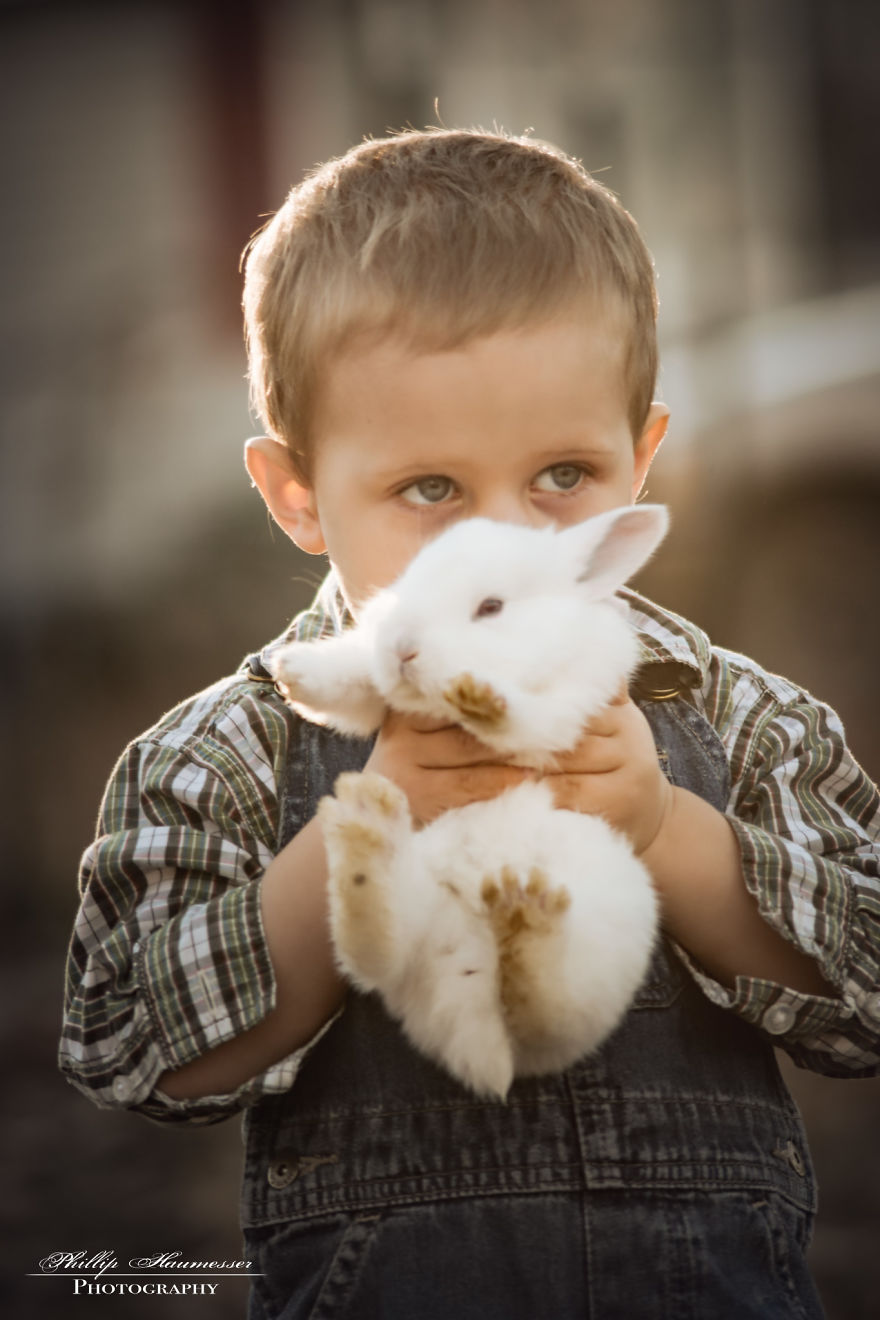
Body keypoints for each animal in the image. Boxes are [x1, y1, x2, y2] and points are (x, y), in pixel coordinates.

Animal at [269, 498, 667, 1098]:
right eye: (408, 585)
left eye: (491, 607)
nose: (403, 648)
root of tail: (483, 1047)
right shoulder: (374, 693)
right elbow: (355, 684)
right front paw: (295, 671)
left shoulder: (564, 712)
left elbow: (523, 722)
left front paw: (482, 698)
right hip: (416, 921)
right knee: (374, 951)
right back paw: (366, 836)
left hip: (597, 947)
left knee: (545, 1013)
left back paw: (527, 919)